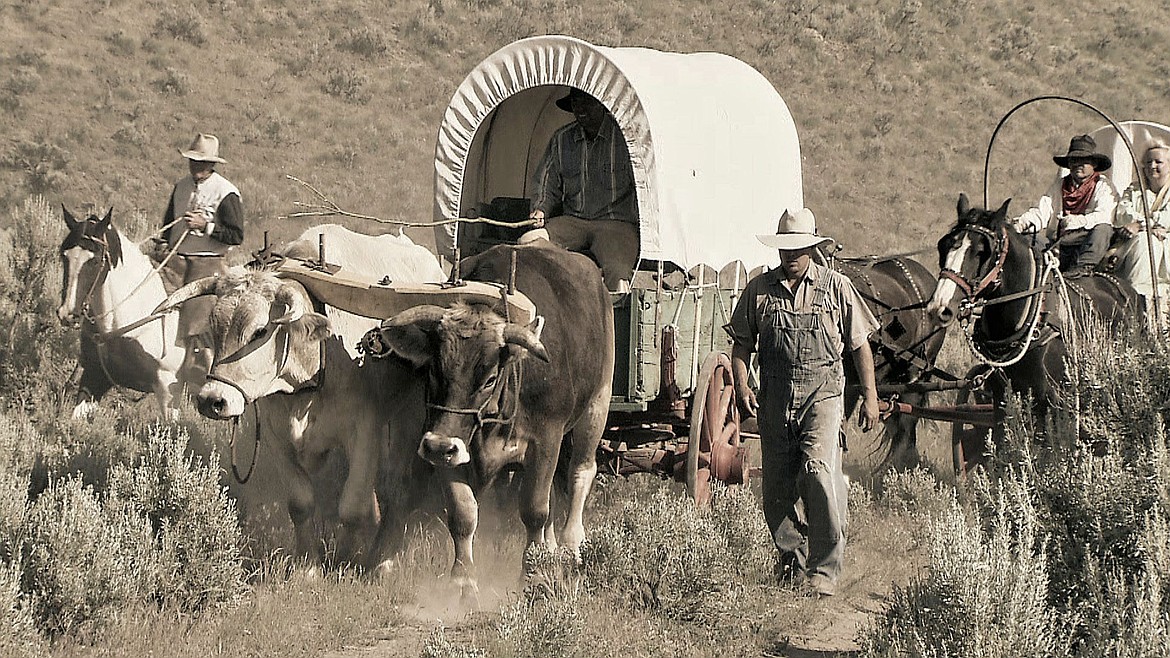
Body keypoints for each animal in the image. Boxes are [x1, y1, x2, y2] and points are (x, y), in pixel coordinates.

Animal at [921, 192, 1141, 463]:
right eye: (944, 246)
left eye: (982, 251)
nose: (939, 307)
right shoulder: (1001, 403)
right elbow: (1002, 450)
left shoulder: (1054, 403)